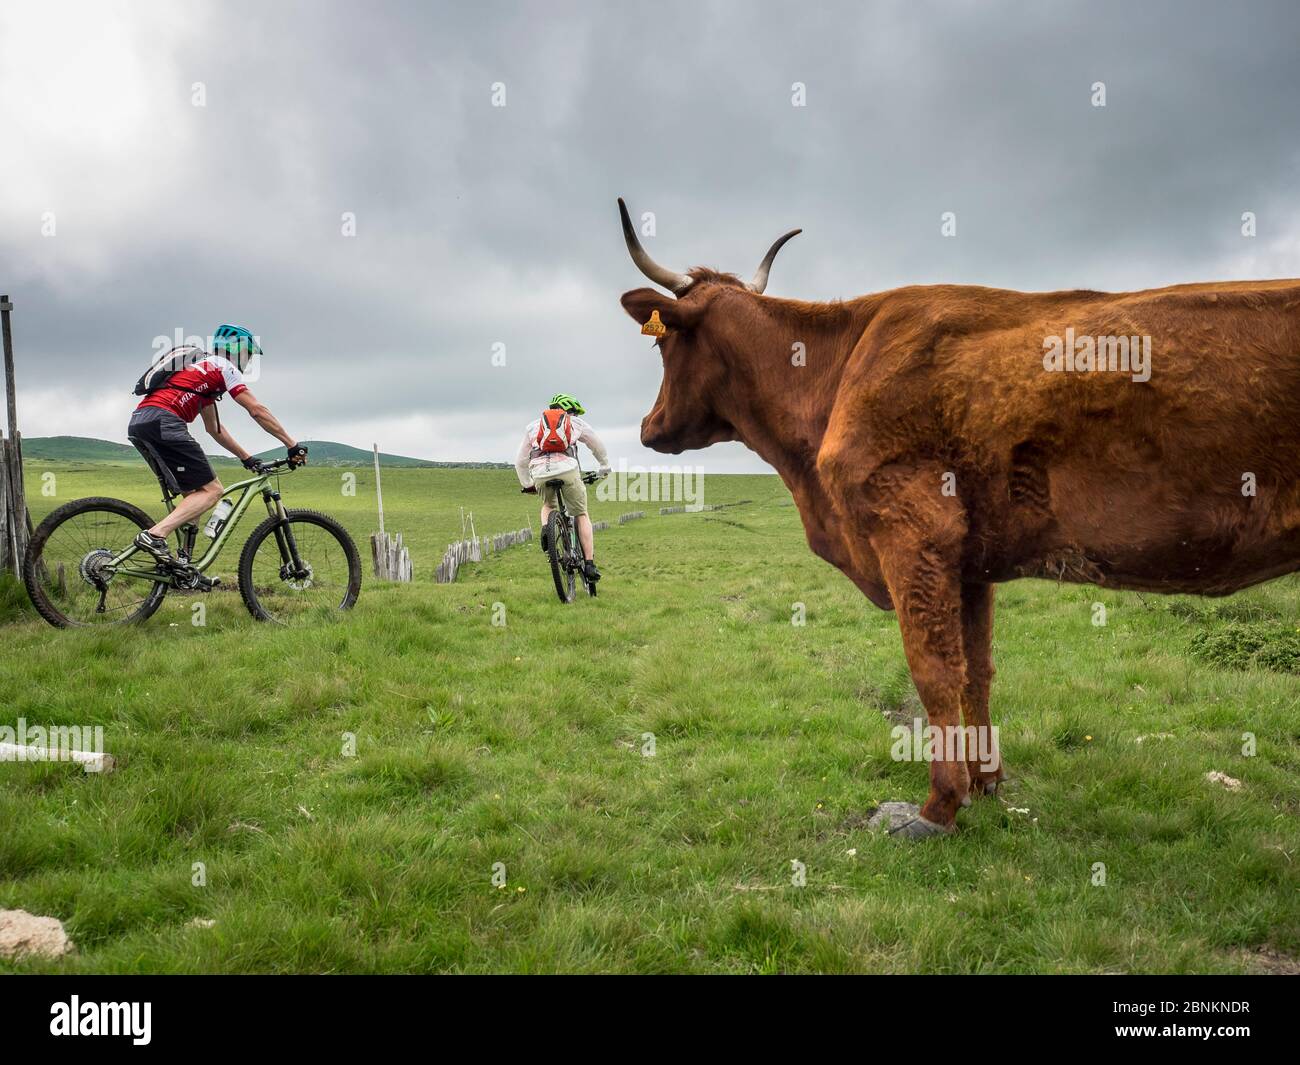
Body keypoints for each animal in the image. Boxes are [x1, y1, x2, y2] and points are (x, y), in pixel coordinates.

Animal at [616, 196, 1300, 837]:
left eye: (664, 342)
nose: (647, 427)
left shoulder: (912, 536)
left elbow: (934, 672)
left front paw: (939, 805)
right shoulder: (972, 563)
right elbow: (977, 671)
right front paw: (985, 780)